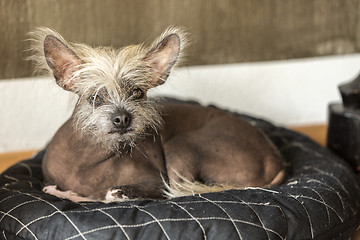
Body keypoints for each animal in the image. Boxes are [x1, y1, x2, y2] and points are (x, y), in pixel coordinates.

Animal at [28, 27, 286, 202]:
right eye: (95, 97)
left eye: (138, 93)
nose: (122, 118)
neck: (90, 158)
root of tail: (275, 160)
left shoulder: (156, 180)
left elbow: (119, 193)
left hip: (183, 144)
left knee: (180, 192)